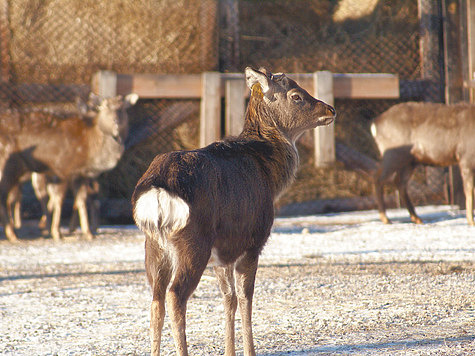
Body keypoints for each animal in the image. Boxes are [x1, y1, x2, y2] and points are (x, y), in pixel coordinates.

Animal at [0, 92, 139, 242]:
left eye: (122, 108)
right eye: (104, 107)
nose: (116, 121)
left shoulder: (80, 174)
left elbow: (81, 199)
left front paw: (88, 233)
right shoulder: (64, 167)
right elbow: (59, 200)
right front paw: (57, 233)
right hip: (9, 164)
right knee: (5, 196)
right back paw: (12, 234)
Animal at [132, 67, 336, 356]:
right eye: (296, 95)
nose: (330, 109)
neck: (270, 176)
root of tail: (157, 191)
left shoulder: (223, 252)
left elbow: (228, 299)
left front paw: (229, 350)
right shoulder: (253, 242)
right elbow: (245, 298)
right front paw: (250, 351)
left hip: (154, 246)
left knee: (156, 300)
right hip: (194, 242)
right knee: (175, 295)